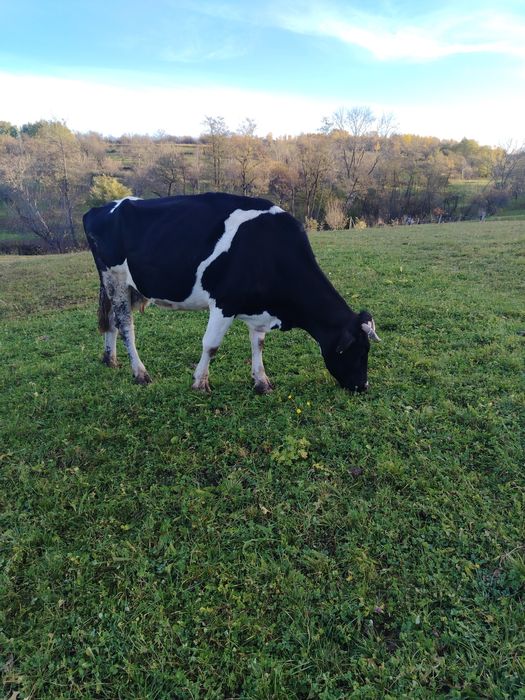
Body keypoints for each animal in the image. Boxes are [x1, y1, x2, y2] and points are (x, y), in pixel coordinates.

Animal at [83, 193, 380, 394]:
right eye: (357, 352)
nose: (363, 386)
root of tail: (101, 208)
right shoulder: (223, 303)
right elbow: (211, 345)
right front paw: (200, 383)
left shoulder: (258, 307)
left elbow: (258, 343)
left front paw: (261, 381)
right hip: (115, 278)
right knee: (125, 325)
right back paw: (140, 373)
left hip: (127, 286)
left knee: (111, 321)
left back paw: (110, 360)